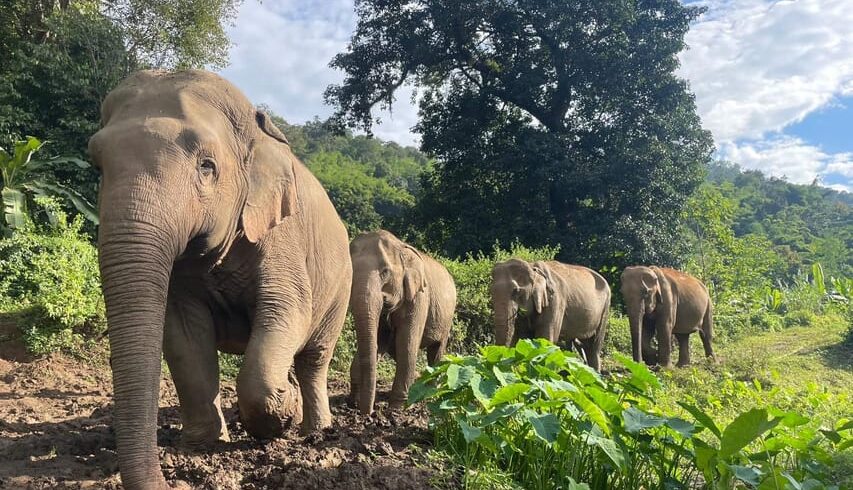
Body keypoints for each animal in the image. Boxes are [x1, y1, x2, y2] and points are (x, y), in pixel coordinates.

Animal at [87, 70, 352, 489]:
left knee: (315, 357)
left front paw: (281, 416)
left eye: (207, 166)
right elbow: (183, 335)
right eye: (97, 165)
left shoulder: (282, 235)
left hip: (342, 287)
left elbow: (287, 309)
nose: (172, 481)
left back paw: (315, 430)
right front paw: (203, 444)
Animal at [349, 230, 457, 414]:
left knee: (436, 350)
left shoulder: (419, 297)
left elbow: (406, 342)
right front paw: (352, 402)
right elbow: (380, 340)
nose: (368, 414)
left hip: (447, 319)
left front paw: (398, 408)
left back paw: (431, 391)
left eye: (385, 272)